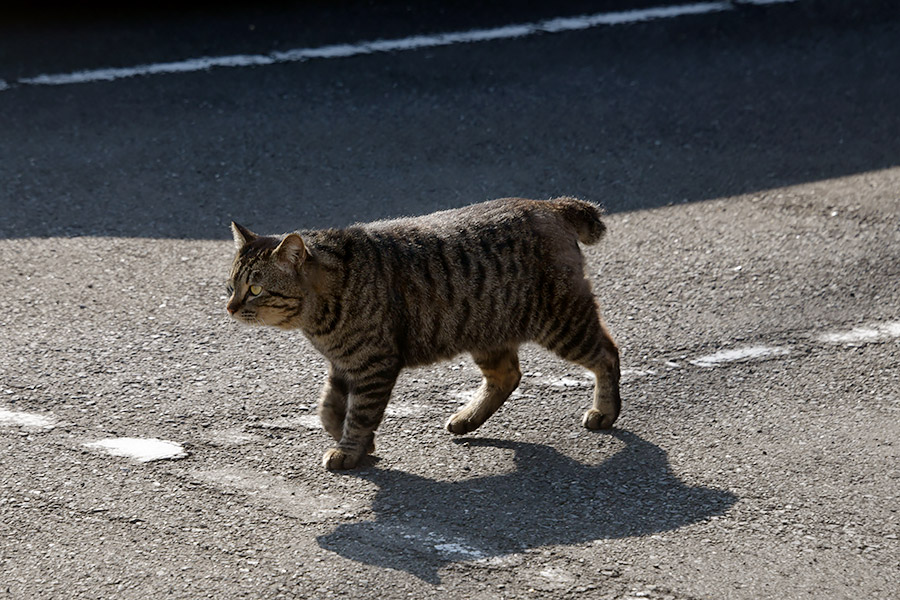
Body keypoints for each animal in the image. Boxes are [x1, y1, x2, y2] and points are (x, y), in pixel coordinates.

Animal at [227, 197, 620, 468]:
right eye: (231, 286)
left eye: (256, 289)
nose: (229, 307)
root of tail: (549, 204)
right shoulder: (343, 364)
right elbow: (329, 409)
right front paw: (356, 442)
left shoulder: (374, 363)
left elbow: (361, 413)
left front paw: (350, 449)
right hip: (486, 330)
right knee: (508, 375)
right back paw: (467, 418)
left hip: (562, 321)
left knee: (608, 353)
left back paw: (606, 411)